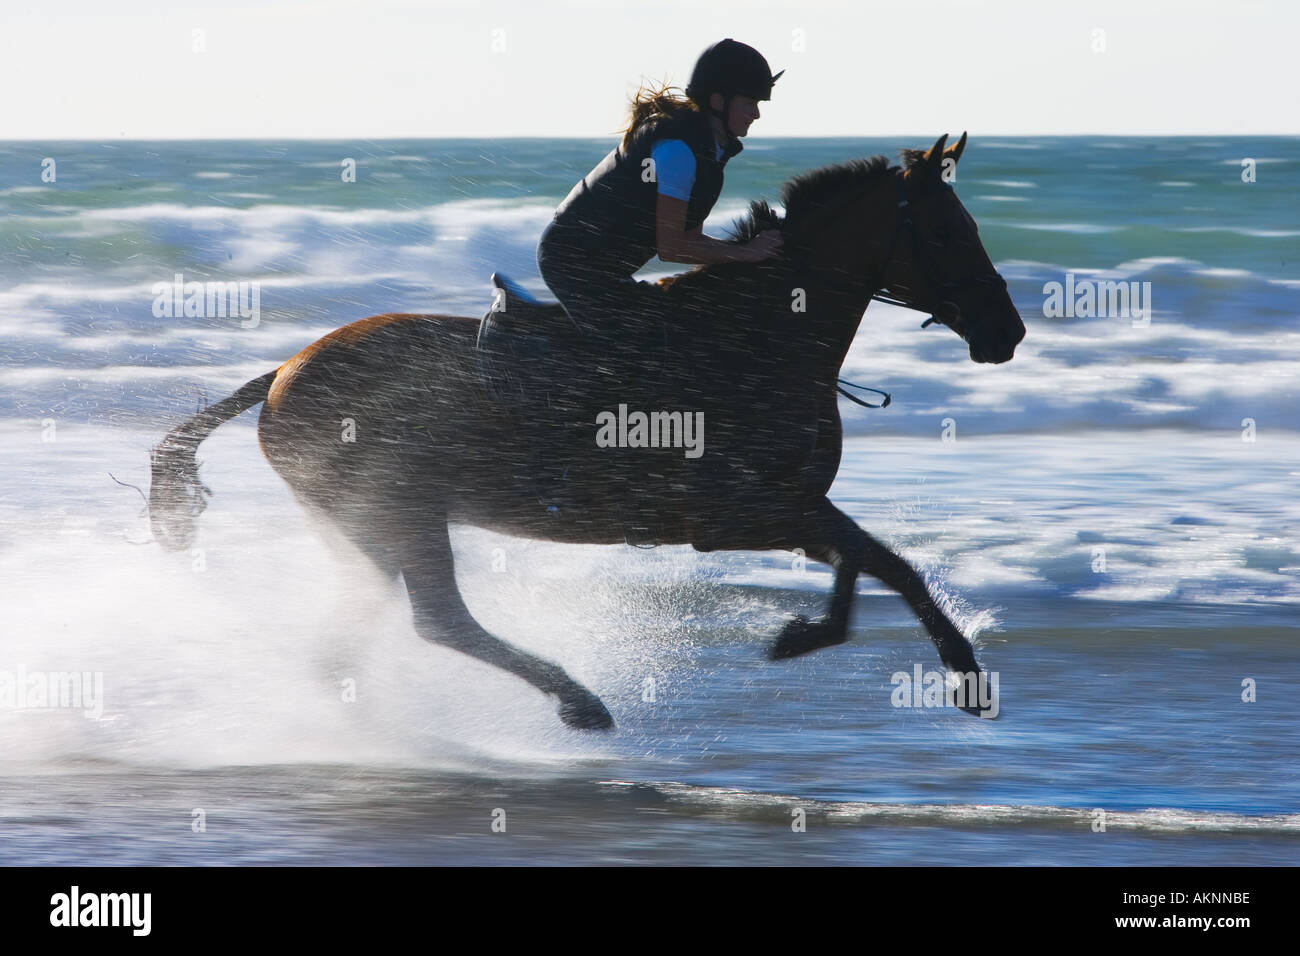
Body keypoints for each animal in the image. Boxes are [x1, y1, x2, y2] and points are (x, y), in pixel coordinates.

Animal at [147, 133, 1025, 731]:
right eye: (945, 232)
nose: (1007, 330)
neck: (764, 336)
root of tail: (283, 373)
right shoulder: (736, 514)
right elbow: (866, 562)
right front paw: (812, 637)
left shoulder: (790, 507)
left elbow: (882, 562)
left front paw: (959, 673)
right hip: (400, 511)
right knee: (439, 621)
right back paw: (578, 704)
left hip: (362, 527)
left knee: (362, 631)